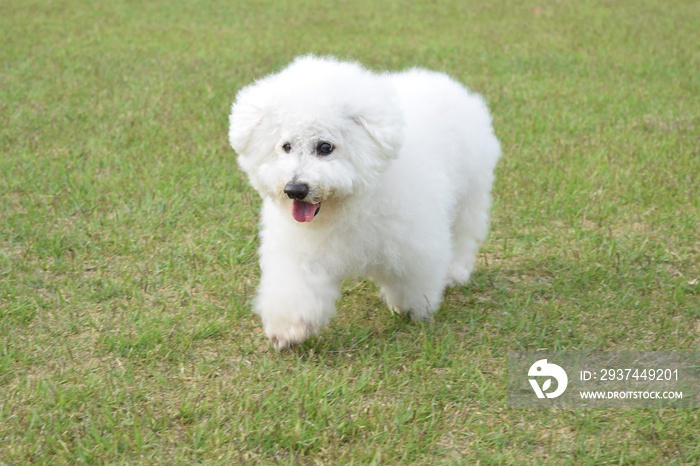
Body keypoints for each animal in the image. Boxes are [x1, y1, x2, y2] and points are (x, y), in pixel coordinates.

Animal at [228, 55, 498, 350]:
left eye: (325, 147)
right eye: (285, 146)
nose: (295, 189)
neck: (347, 205)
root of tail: (444, 83)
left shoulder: (413, 242)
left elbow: (413, 276)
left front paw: (413, 308)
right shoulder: (301, 252)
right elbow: (297, 288)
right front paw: (289, 330)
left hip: (470, 195)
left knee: (463, 234)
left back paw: (454, 272)